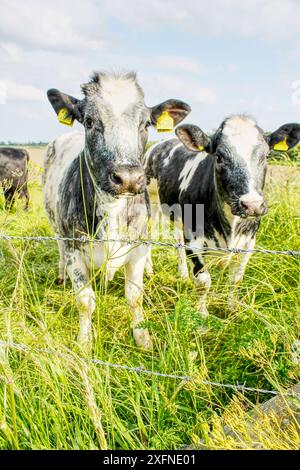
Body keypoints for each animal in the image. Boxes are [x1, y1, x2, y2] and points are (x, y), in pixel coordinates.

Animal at [43, 70, 190, 348]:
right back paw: (60, 274)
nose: (129, 178)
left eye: (145, 124)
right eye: (89, 122)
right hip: (56, 226)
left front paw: (142, 338)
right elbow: (85, 301)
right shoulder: (74, 249)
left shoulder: (138, 248)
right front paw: (84, 341)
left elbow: (135, 297)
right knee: (59, 248)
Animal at [145, 116, 300, 316]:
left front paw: (233, 309)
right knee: (147, 236)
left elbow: (236, 279)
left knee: (177, 239)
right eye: (219, 157)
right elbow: (203, 282)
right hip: (150, 202)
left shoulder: (249, 242)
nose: (252, 205)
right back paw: (149, 270)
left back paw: (183, 274)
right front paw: (202, 315)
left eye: (266, 156)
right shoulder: (193, 241)